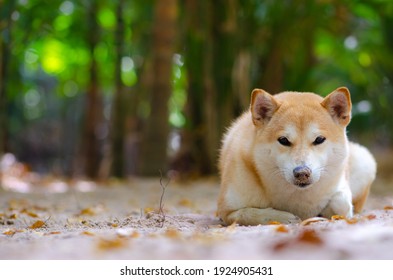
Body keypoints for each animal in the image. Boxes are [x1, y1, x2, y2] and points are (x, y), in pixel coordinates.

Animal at [217, 87, 376, 225]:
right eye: (283, 140)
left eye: (319, 139)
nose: (302, 173)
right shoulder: (225, 211)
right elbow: (248, 213)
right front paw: (284, 217)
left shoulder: (340, 186)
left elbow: (342, 204)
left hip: (365, 161)